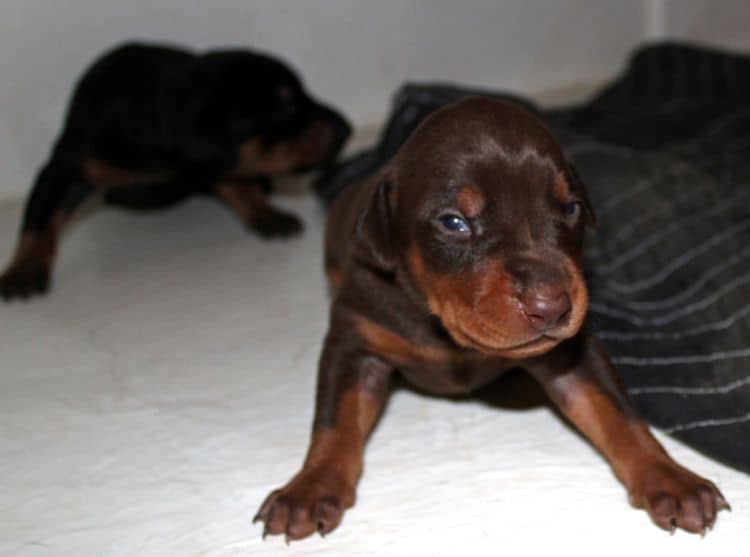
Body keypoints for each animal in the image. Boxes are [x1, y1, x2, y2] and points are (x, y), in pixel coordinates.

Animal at [0, 42, 352, 300]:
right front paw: (23, 271)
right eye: (286, 106)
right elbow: (39, 218)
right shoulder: (66, 165)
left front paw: (267, 214)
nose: (345, 128)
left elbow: (235, 183)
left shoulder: (208, 164)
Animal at [254, 97, 728, 540]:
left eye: (571, 208)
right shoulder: (354, 343)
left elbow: (619, 414)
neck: (444, 328)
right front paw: (309, 489)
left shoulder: (573, 354)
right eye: (454, 222)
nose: (551, 304)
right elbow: (333, 421)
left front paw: (671, 478)